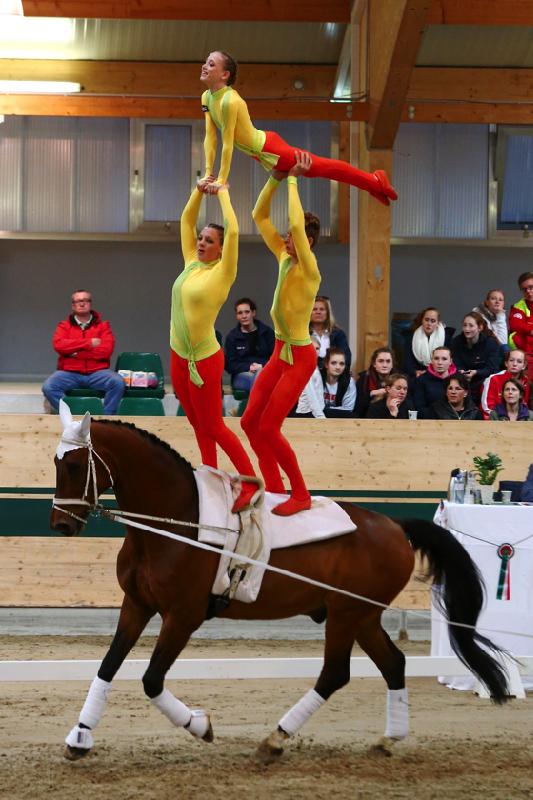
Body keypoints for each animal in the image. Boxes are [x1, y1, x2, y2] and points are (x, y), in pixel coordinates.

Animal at [50, 406, 508, 764]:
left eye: (73, 466)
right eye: (56, 464)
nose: (60, 526)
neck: (176, 523)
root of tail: (395, 525)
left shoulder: (183, 616)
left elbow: (151, 680)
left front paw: (201, 726)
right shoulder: (137, 605)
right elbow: (108, 665)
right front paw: (80, 738)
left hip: (346, 614)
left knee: (335, 673)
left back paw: (274, 741)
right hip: (363, 616)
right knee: (393, 663)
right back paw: (388, 740)